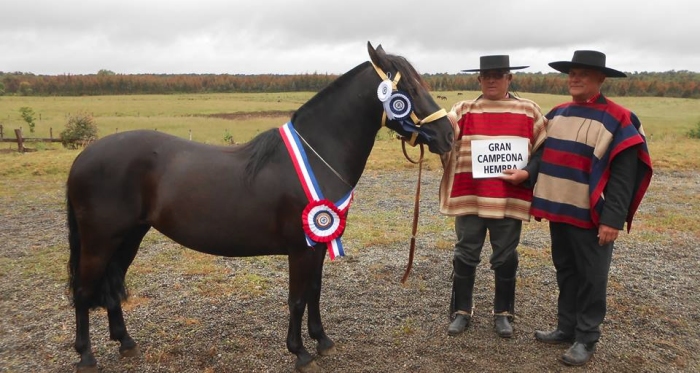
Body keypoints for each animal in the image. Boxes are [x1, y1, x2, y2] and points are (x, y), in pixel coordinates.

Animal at [65, 40, 454, 372]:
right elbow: (297, 299)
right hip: (100, 240)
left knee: (112, 283)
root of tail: (85, 156)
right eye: (411, 90)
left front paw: (322, 340)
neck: (317, 154)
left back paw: (125, 342)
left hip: (130, 235)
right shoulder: (301, 247)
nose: (448, 135)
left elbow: (315, 291)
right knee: (84, 291)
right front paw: (300, 353)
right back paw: (86, 356)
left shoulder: (317, 245)